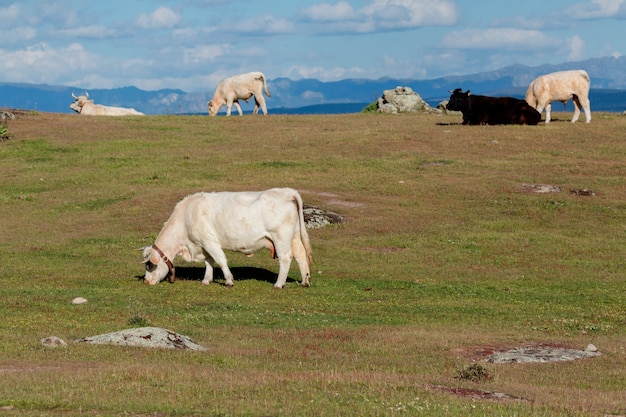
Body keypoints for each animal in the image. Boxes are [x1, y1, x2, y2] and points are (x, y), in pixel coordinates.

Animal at [139, 188, 310, 288]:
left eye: (149, 265)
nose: (146, 281)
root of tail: (286, 191)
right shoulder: (202, 244)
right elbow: (209, 261)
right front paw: (206, 280)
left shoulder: (209, 241)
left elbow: (220, 260)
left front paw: (228, 280)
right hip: (294, 236)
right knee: (301, 256)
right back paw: (305, 281)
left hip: (281, 237)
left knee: (286, 258)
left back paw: (279, 284)